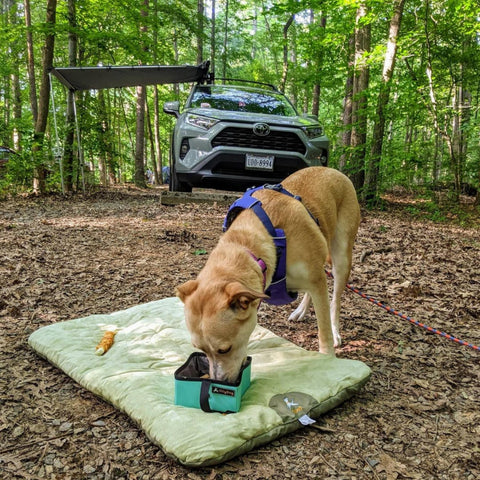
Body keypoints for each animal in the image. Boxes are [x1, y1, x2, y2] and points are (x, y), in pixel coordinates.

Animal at [176, 167, 360, 380]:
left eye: (224, 349)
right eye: (201, 350)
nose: (218, 381)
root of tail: (333, 170)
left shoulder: (316, 281)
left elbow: (324, 332)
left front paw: (328, 359)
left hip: (342, 257)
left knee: (335, 299)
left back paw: (335, 328)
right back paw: (301, 310)